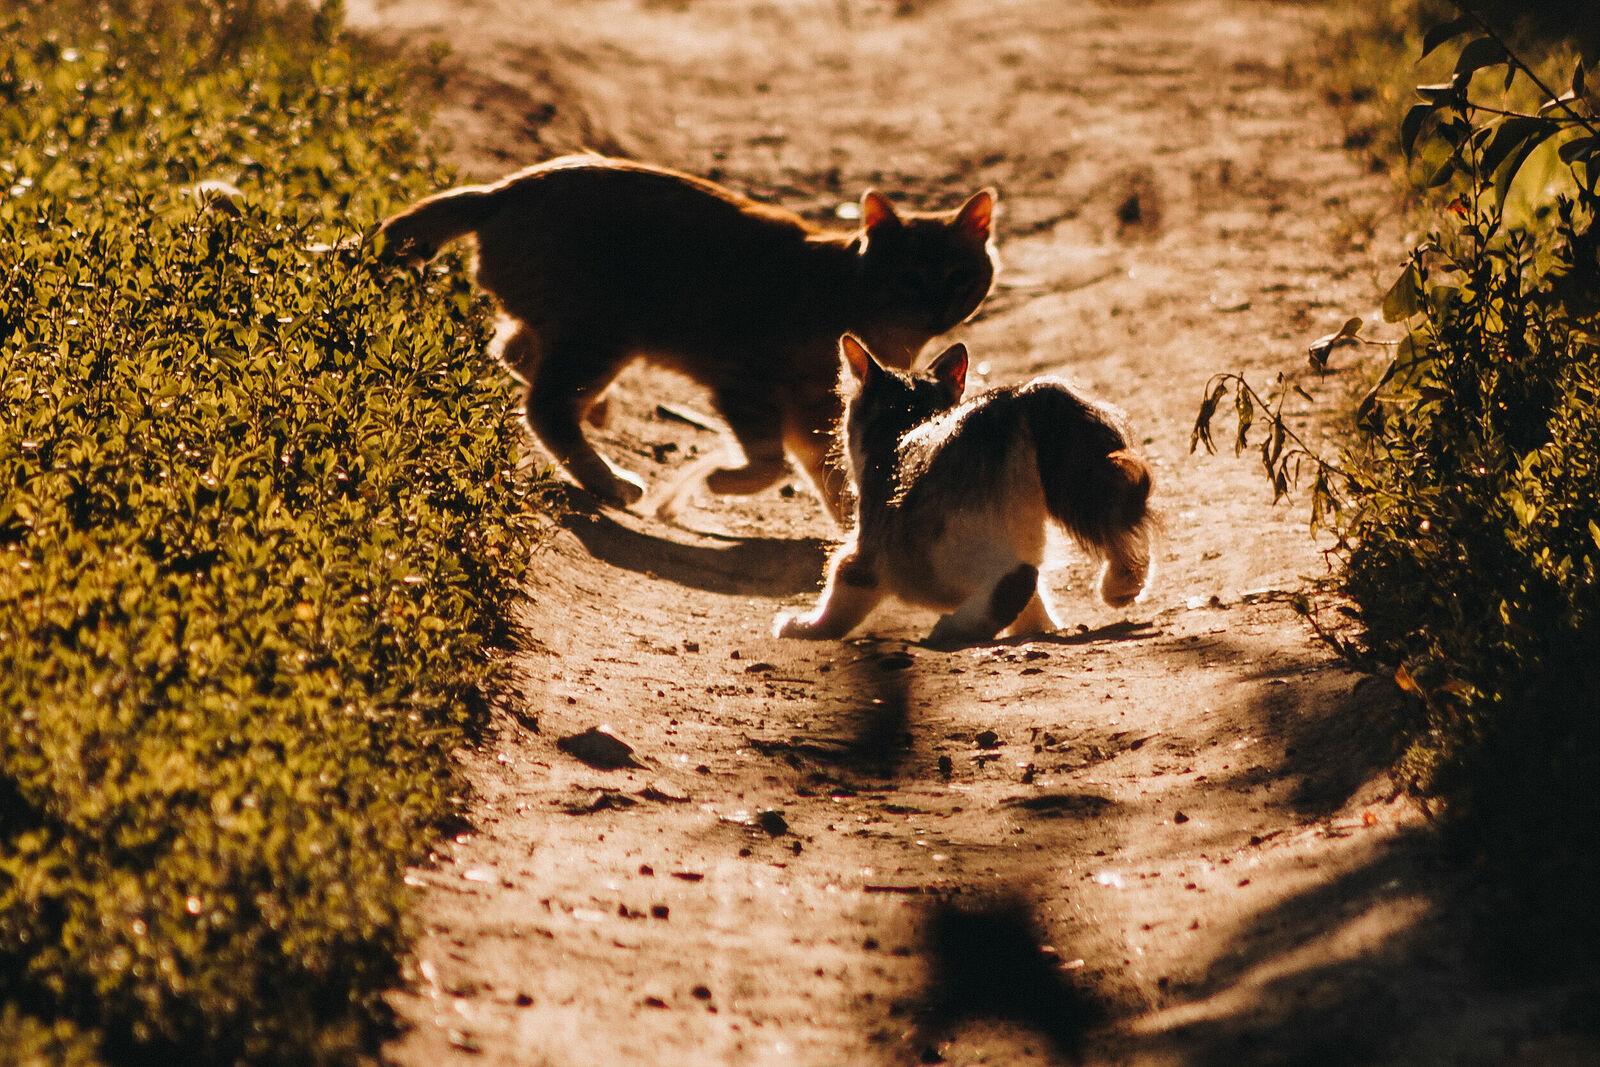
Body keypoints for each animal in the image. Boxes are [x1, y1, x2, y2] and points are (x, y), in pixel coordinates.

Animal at [378, 154, 997, 523]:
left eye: (959, 275)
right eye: (909, 277)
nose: (938, 304)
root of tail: (503, 189)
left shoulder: (812, 419)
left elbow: (834, 477)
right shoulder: (746, 386)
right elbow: (769, 464)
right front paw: (723, 482)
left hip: (577, 334)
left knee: (512, 353)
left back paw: (599, 415)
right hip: (599, 336)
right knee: (544, 408)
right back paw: (610, 481)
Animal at [776, 334, 1154, 648]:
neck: (907, 424)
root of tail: (1017, 398)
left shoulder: (868, 549)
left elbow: (839, 588)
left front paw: (804, 627)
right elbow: (1035, 609)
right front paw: (1043, 628)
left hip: (944, 546)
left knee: (1016, 580)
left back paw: (950, 629)